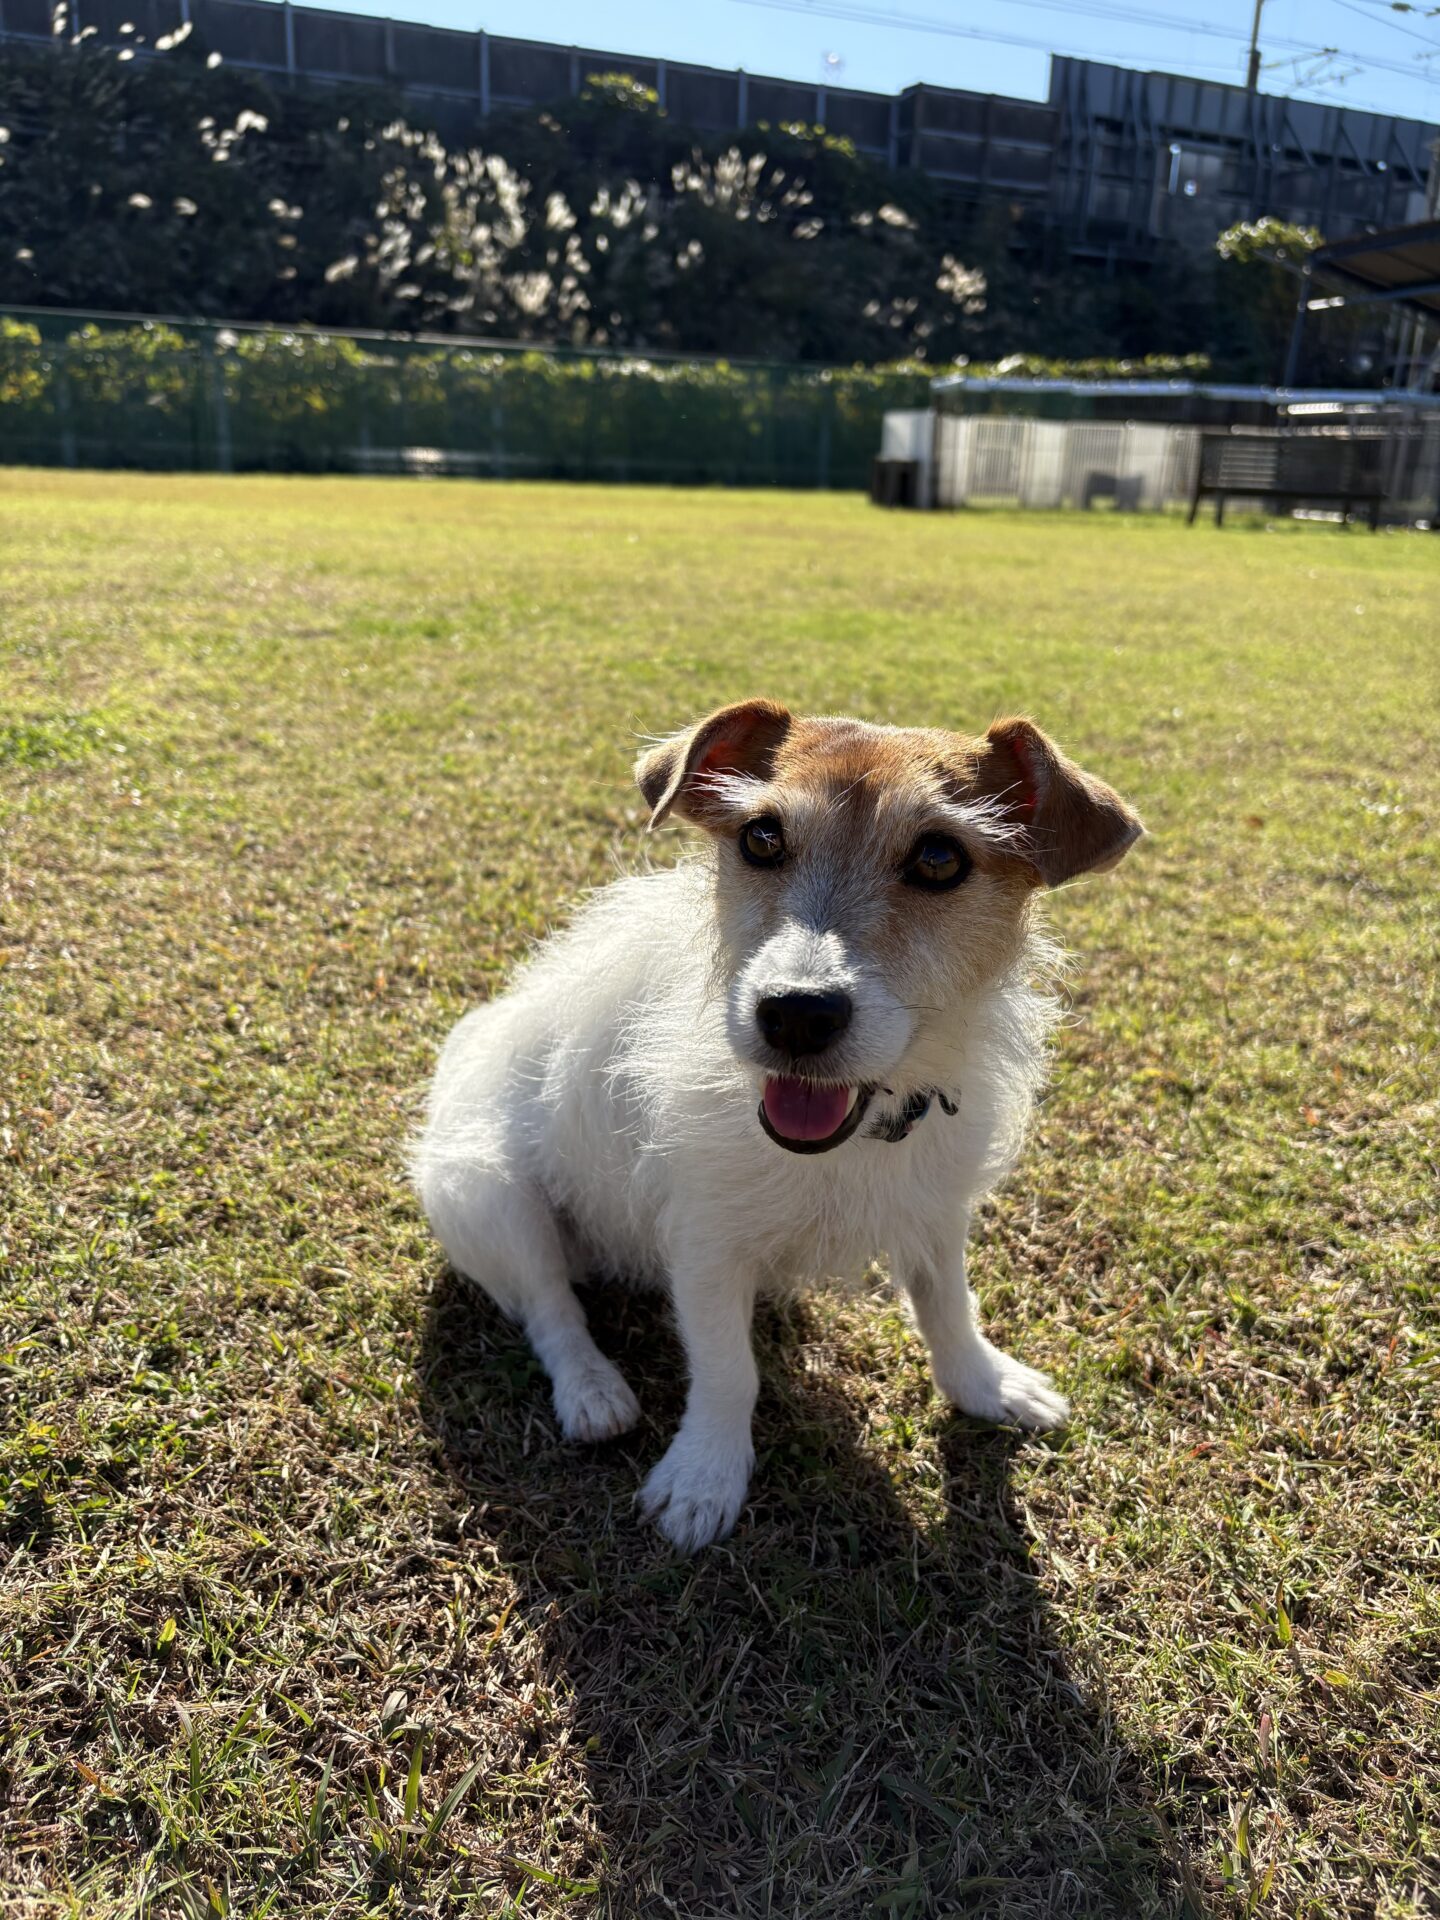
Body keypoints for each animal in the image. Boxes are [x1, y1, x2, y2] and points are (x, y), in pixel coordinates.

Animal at [413, 700, 1141, 1551]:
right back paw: (593, 1390)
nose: (795, 1012)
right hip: (489, 1195)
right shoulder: (704, 1244)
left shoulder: (934, 1210)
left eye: (939, 858)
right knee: (549, 1305)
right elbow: (728, 1370)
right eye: (762, 839)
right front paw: (704, 1476)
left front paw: (987, 1386)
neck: (852, 1139)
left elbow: (948, 1308)